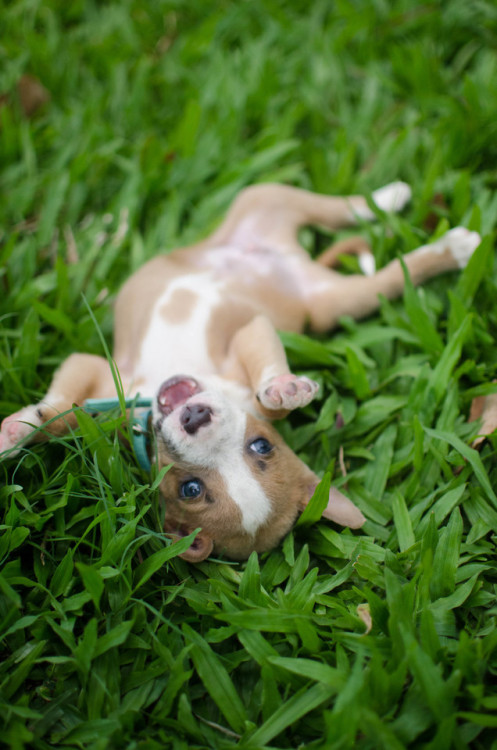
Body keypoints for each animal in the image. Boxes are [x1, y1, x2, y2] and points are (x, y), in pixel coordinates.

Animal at [0, 181, 480, 560]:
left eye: (191, 489)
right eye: (259, 445)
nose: (196, 417)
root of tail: (292, 258)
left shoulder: (250, 332)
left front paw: (283, 390)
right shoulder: (97, 370)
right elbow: (58, 411)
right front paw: (19, 430)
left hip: (338, 303)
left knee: (389, 269)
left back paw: (450, 246)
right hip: (264, 201)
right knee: (341, 207)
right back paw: (392, 197)